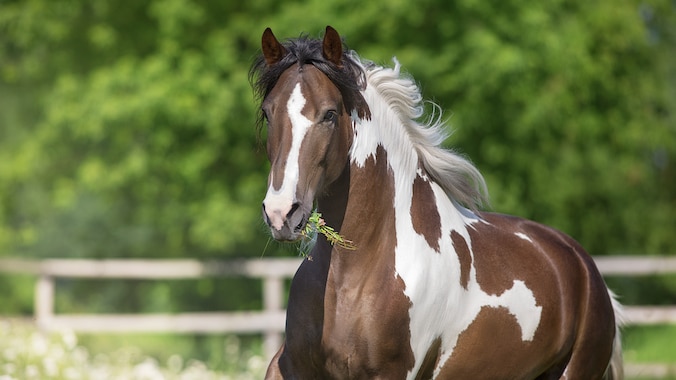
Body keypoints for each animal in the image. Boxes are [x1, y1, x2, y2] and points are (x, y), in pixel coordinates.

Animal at [251, 26, 624, 380]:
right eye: (268, 113)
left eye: (329, 114)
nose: (282, 213)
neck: (351, 279)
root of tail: (583, 264)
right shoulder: (290, 366)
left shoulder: (391, 372)